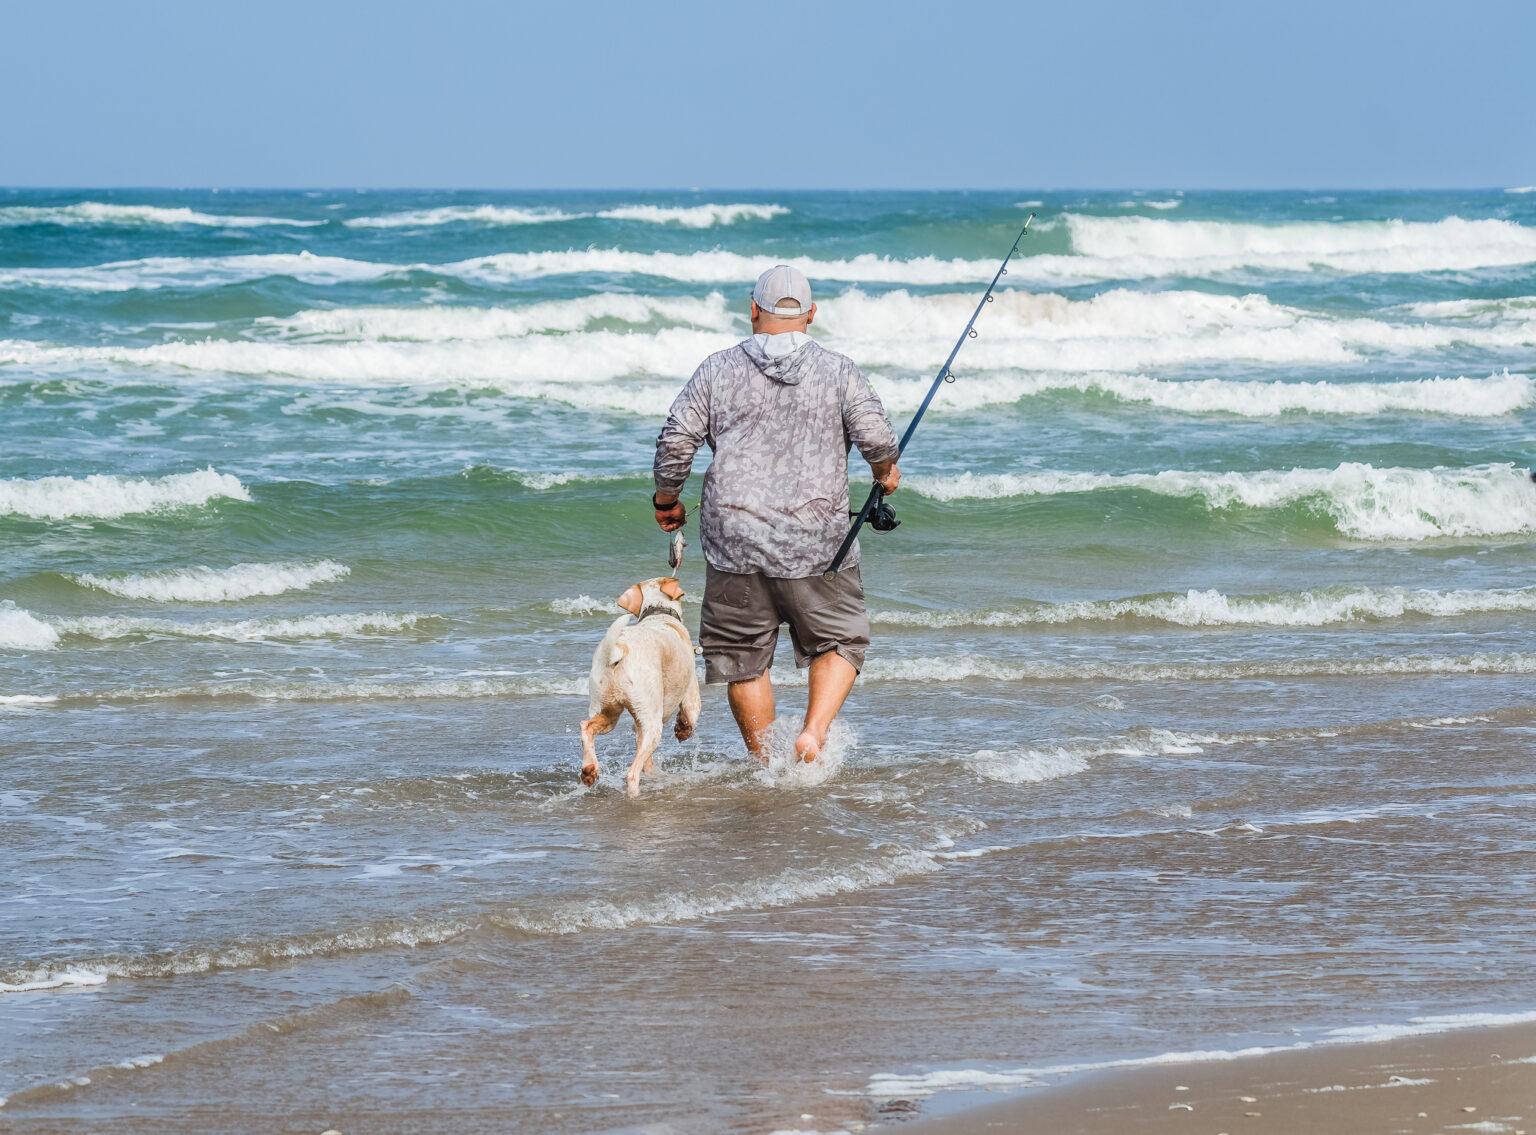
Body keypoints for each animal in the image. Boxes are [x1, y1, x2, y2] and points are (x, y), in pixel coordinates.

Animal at [577, 571, 700, 792]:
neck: (658, 612)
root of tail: (618, 652)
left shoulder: (638, 725)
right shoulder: (690, 698)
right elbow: (689, 717)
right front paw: (682, 730)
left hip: (608, 712)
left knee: (586, 727)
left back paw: (589, 770)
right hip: (652, 725)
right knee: (632, 774)